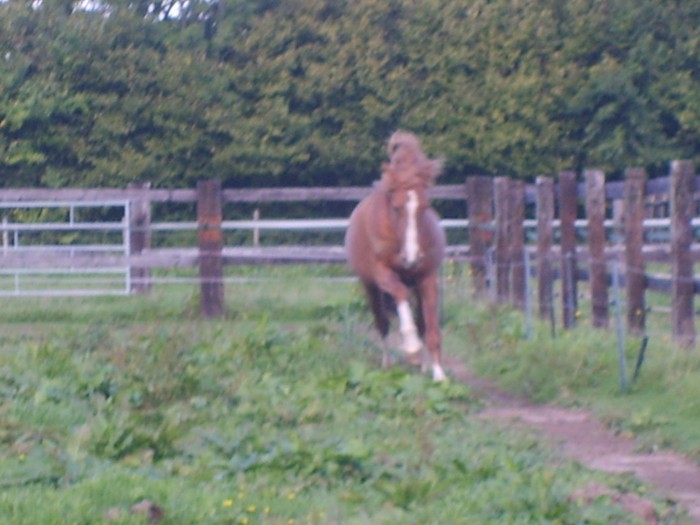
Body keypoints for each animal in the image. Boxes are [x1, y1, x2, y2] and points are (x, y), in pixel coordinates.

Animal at [346, 129, 448, 378]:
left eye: (425, 206)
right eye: (396, 207)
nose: (411, 258)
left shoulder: (427, 278)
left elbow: (431, 328)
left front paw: (439, 374)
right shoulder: (383, 274)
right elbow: (399, 295)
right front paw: (411, 347)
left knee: (420, 321)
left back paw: (424, 365)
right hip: (370, 286)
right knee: (382, 323)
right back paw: (387, 362)